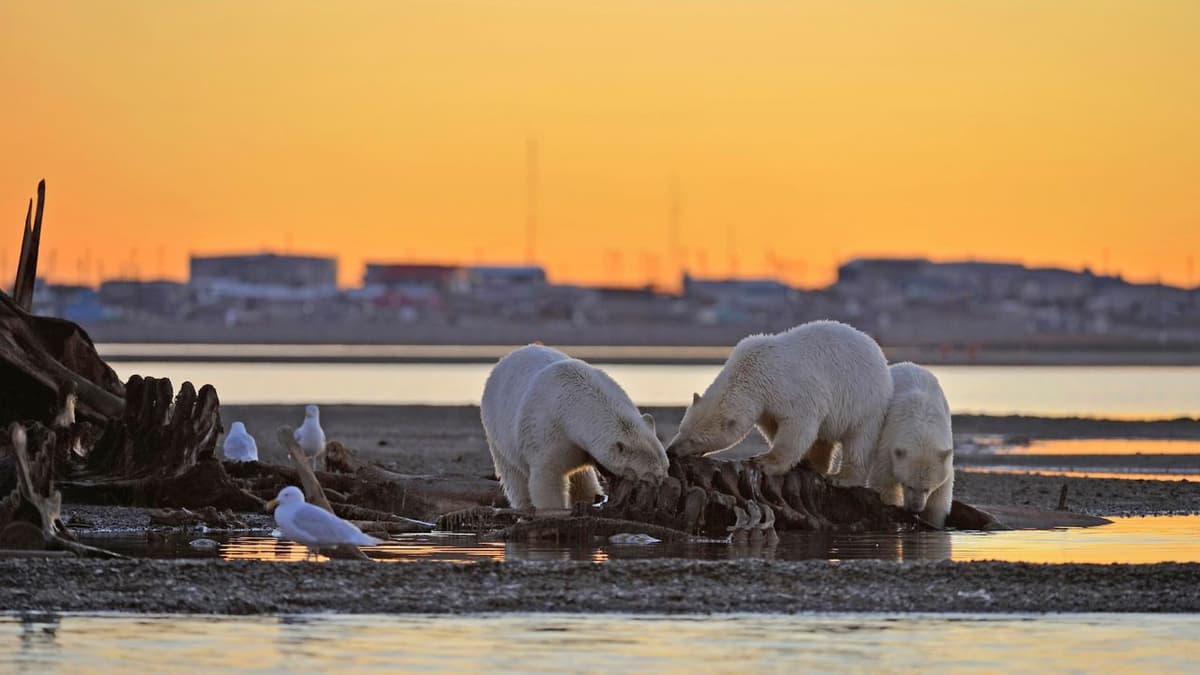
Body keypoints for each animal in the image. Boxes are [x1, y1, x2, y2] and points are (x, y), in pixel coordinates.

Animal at [480, 344, 670, 511]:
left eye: (666, 467)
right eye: (647, 477)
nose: (662, 485)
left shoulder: (579, 444)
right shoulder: (548, 432)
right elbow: (547, 478)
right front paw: (554, 509)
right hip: (497, 431)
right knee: (513, 475)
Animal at [666, 320, 893, 479]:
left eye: (694, 439)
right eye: (681, 428)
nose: (671, 451)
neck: (752, 370)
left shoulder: (791, 388)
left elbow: (797, 426)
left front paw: (763, 462)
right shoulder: (766, 405)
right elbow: (773, 426)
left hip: (866, 403)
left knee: (859, 442)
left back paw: (843, 476)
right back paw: (814, 463)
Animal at [866, 362, 955, 528]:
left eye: (927, 489)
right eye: (909, 486)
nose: (916, 508)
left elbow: (941, 493)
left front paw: (932, 521)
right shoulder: (888, 443)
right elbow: (884, 480)